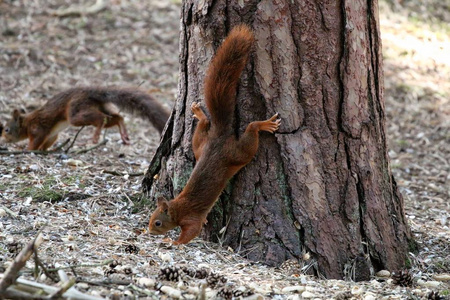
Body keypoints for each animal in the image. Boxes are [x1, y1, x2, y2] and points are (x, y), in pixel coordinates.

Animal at [1, 88, 171, 151]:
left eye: (7, 129)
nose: (2, 139)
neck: (26, 123)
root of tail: (91, 92)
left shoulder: (38, 129)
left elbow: (35, 142)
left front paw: (26, 149)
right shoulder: (51, 135)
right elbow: (47, 143)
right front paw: (43, 150)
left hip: (76, 112)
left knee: (101, 119)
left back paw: (95, 137)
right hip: (101, 106)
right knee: (117, 117)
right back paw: (124, 135)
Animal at [149, 23, 282, 244]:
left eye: (158, 222)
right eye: (151, 218)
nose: (149, 231)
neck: (178, 208)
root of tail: (218, 139)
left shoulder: (191, 218)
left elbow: (191, 233)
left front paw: (173, 242)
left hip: (238, 154)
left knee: (250, 132)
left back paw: (263, 125)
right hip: (200, 147)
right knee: (203, 127)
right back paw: (199, 113)